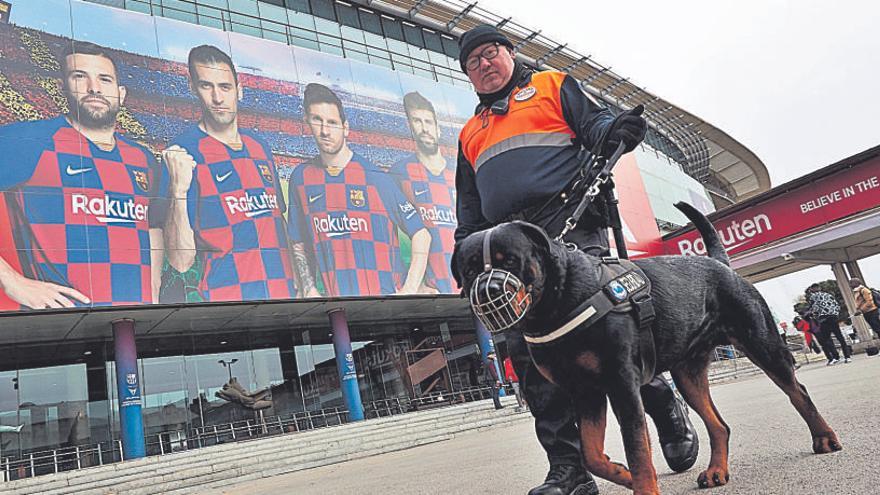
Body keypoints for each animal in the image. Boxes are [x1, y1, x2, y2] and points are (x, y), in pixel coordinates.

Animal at [450, 202, 844, 495]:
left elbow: (638, 448)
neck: (557, 303)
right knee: (719, 424)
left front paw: (640, 481)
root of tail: (719, 263)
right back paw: (717, 470)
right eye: (469, 270)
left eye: (510, 260)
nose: (487, 290)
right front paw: (621, 473)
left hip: (761, 342)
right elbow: (591, 454)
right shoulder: (585, 390)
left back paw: (824, 437)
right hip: (688, 373)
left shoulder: (621, 383)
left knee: (797, 391)